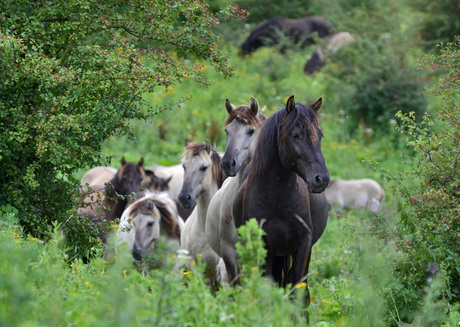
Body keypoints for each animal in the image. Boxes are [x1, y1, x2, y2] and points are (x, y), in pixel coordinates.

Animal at [234, 95, 330, 304]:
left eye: (320, 135)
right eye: (295, 135)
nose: (322, 179)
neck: (277, 197)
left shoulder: (304, 246)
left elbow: (299, 291)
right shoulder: (265, 249)